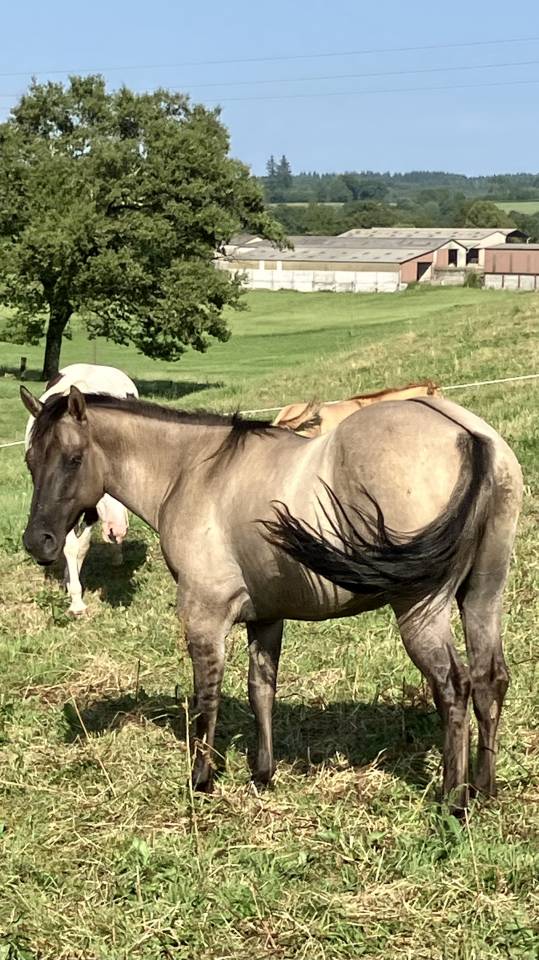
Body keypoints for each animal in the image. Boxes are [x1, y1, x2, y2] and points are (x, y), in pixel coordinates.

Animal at [24, 363, 138, 615]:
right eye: (30, 462)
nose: (116, 529)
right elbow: (68, 545)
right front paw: (73, 592)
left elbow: (81, 546)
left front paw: (75, 593)